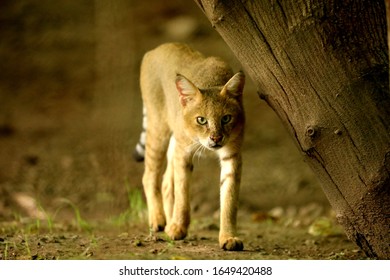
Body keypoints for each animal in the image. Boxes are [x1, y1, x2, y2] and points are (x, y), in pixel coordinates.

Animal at [133, 42, 245, 250]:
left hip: (172, 140)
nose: (216, 138)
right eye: (201, 120)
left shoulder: (232, 155)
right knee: (149, 175)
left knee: (166, 181)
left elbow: (229, 199)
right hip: (158, 129)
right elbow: (182, 193)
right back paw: (158, 220)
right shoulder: (183, 152)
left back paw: (167, 220)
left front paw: (228, 237)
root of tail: (157, 48)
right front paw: (178, 228)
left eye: (226, 118)